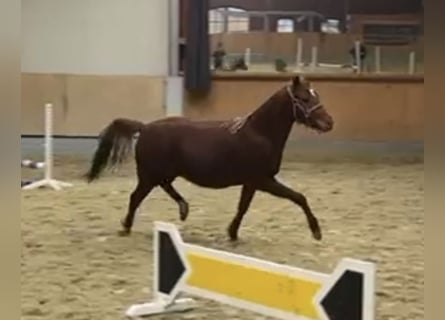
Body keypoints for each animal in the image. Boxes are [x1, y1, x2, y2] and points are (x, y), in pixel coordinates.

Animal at [84, 75, 332, 240]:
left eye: (316, 95)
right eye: (304, 98)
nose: (329, 123)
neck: (260, 133)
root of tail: (144, 128)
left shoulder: (251, 183)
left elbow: (243, 207)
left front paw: (232, 233)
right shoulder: (263, 180)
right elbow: (299, 197)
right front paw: (316, 231)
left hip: (163, 173)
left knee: (163, 187)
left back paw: (183, 209)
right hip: (148, 175)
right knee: (135, 197)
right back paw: (126, 226)